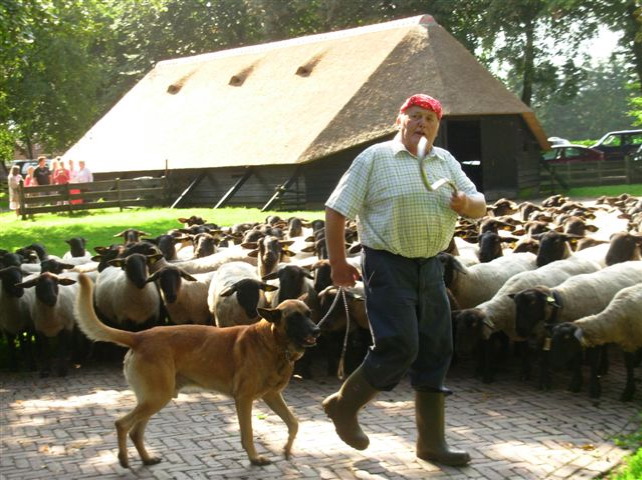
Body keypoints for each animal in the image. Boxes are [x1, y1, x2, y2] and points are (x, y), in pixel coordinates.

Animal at [74, 276, 318, 466]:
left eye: (309, 313)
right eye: (294, 317)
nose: (317, 329)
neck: (273, 342)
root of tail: (139, 336)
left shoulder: (272, 396)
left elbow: (294, 423)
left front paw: (287, 449)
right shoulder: (244, 399)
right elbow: (248, 434)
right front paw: (254, 458)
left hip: (153, 399)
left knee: (135, 431)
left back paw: (146, 459)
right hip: (156, 397)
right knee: (122, 424)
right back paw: (124, 459)